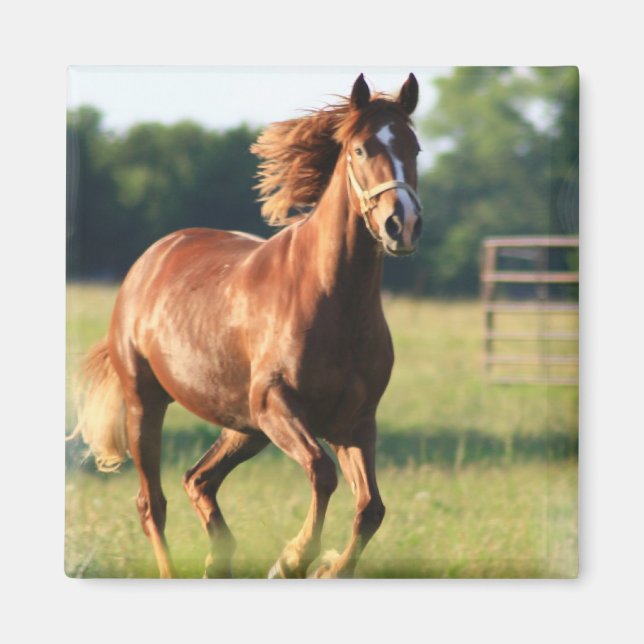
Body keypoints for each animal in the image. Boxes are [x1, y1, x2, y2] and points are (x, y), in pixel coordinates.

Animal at [70, 73, 423, 578]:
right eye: (361, 149)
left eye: (415, 148)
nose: (402, 224)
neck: (333, 301)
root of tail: (149, 261)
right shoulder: (277, 404)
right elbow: (322, 472)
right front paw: (293, 558)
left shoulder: (355, 422)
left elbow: (370, 508)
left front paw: (327, 567)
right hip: (147, 406)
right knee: (151, 504)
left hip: (244, 426)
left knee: (198, 480)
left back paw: (219, 560)